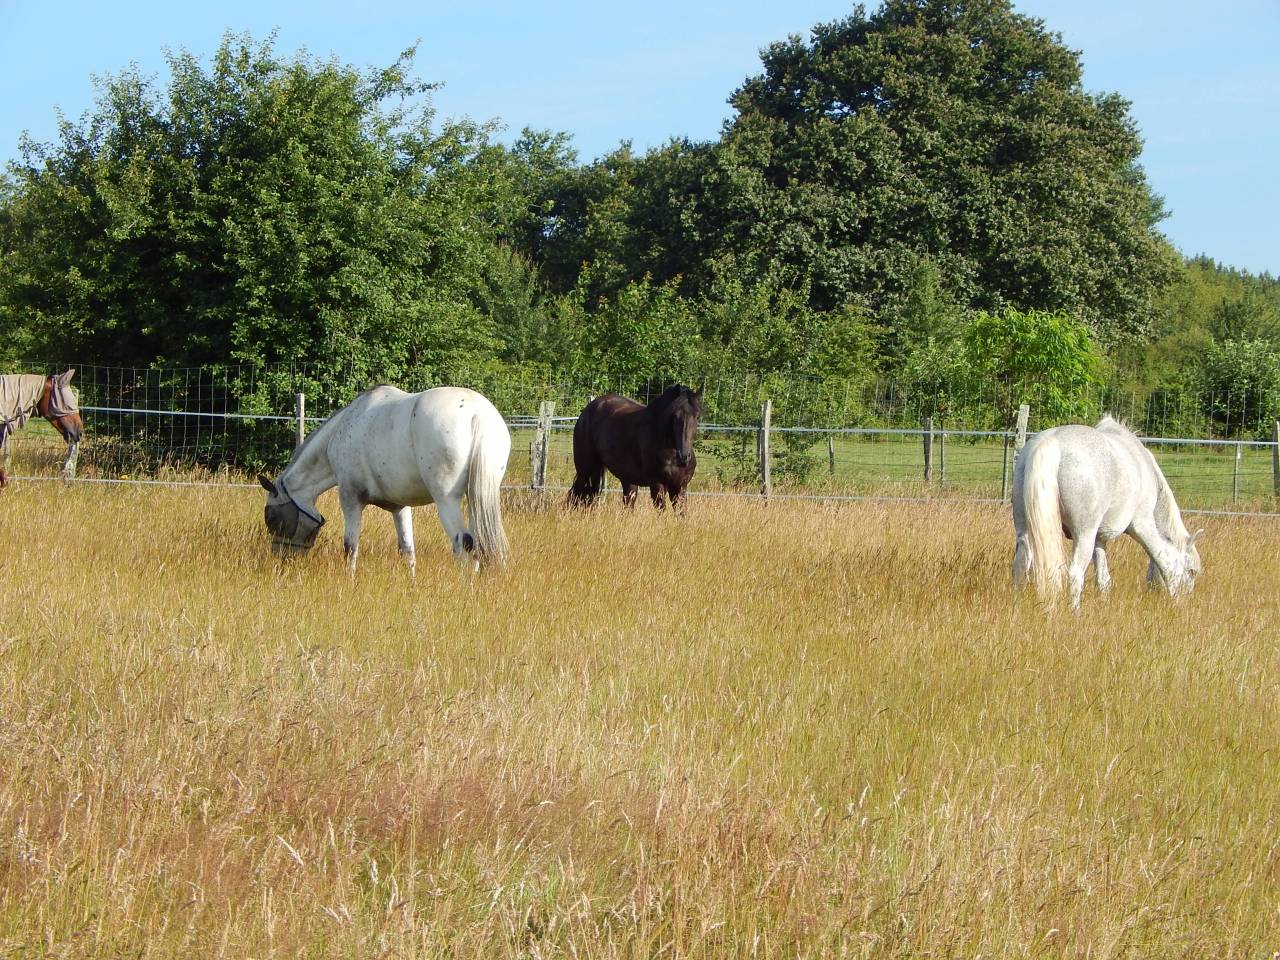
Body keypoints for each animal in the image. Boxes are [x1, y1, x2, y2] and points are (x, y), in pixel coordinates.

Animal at [257, 385, 511, 573]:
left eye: (272, 518)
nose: (281, 560)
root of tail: (477, 414)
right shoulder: (400, 507)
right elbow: (407, 550)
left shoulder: (350, 499)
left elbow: (350, 547)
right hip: (476, 500)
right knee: (477, 544)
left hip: (447, 502)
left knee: (463, 545)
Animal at [568, 384, 703, 511]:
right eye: (674, 415)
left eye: (697, 415)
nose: (684, 457)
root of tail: (586, 412)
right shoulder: (657, 485)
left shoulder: (680, 487)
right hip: (585, 470)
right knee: (576, 494)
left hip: (625, 478)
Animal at [1012, 415, 1203, 608]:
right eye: (1192, 571)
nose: (1185, 601)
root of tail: (1052, 441)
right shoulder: (1142, 526)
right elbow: (1163, 560)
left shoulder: (1099, 539)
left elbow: (1103, 579)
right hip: (1084, 535)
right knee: (1075, 573)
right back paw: (1075, 611)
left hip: (1025, 531)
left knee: (1020, 566)